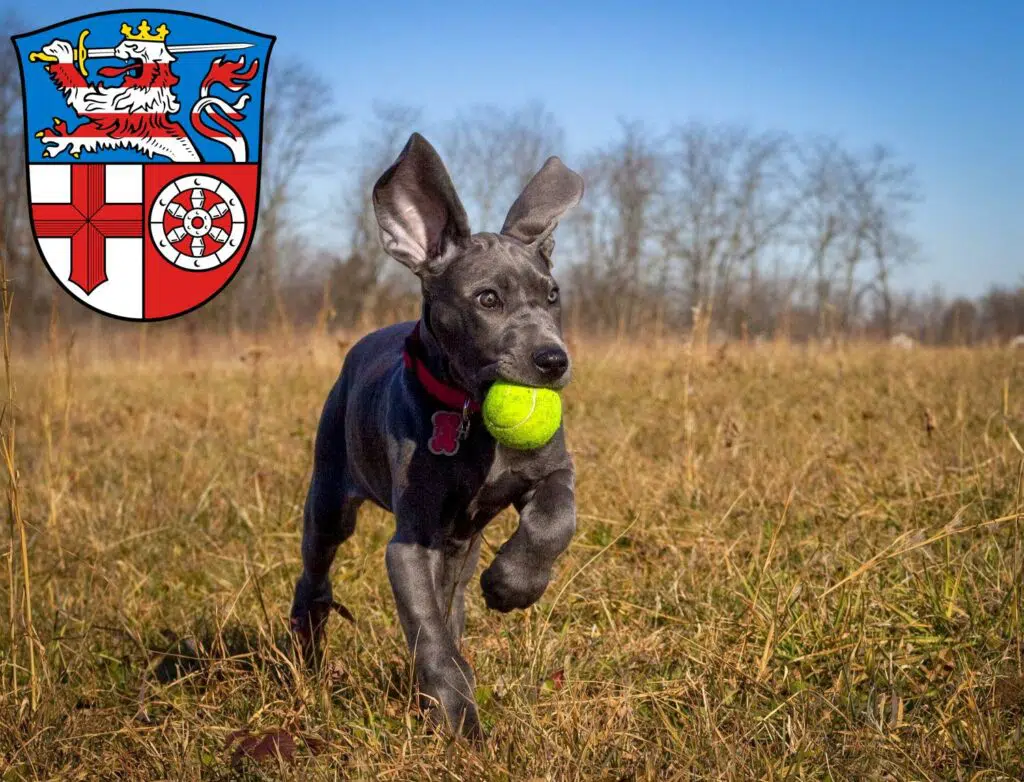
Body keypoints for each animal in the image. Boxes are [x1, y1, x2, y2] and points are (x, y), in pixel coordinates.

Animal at [288, 131, 585, 736]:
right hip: (330, 498)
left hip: (458, 544)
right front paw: (457, 718)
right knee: (316, 571)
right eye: (487, 299)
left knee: (454, 598)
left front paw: (512, 585)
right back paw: (309, 644)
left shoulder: (551, 470)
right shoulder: (410, 543)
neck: (472, 417)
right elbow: (428, 632)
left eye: (552, 295)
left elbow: (555, 520)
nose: (553, 361)